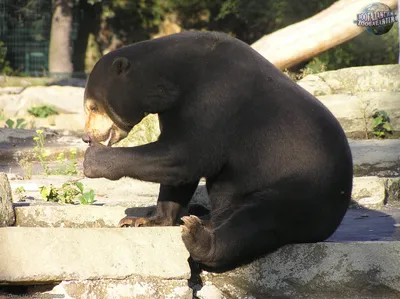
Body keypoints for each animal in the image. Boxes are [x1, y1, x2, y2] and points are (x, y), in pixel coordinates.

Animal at [82, 30, 354, 272]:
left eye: (92, 107)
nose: (87, 136)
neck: (174, 77)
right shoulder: (174, 110)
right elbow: (179, 167)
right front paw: (144, 220)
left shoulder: (214, 98)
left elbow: (186, 154)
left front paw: (95, 160)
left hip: (297, 189)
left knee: (255, 221)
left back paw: (199, 237)